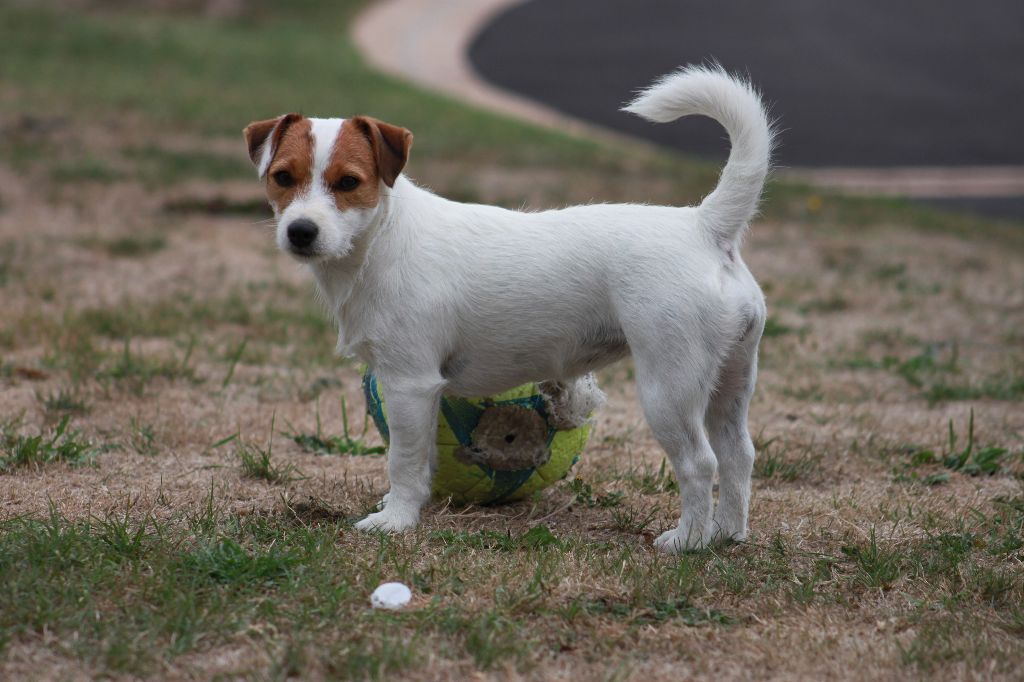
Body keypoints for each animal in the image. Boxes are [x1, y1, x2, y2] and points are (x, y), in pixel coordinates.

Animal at [243, 65, 770, 552]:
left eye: (349, 182)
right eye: (282, 177)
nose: (301, 231)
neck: (382, 239)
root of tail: (704, 225)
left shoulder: (409, 382)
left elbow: (404, 459)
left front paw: (395, 520)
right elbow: (423, 459)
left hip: (670, 387)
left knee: (701, 463)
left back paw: (688, 540)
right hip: (731, 378)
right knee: (738, 454)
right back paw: (729, 533)